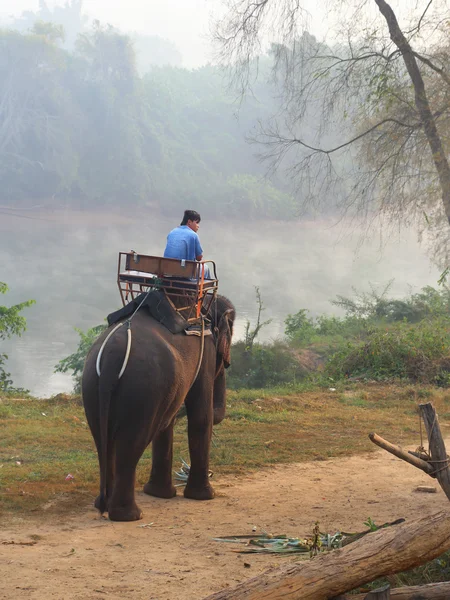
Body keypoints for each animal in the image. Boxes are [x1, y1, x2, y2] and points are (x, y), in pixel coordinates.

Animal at [81, 294, 236, 520]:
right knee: (133, 442)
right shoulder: (205, 350)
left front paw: (159, 494)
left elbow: (166, 425)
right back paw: (129, 515)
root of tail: (111, 358)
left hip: (93, 385)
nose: (226, 363)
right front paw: (205, 496)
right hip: (143, 389)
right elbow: (200, 416)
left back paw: (103, 505)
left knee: (104, 441)